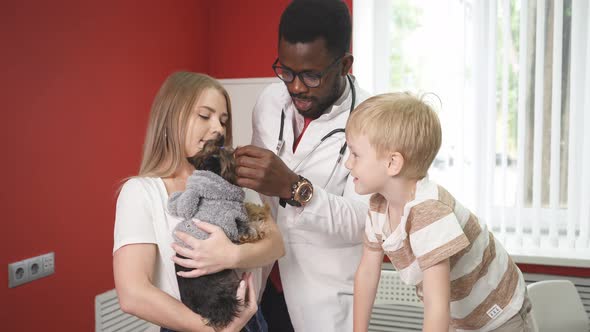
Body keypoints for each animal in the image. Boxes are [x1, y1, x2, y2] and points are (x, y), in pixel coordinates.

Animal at [166, 137, 268, 330]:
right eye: (229, 151)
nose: (220, 137)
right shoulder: (233, 227)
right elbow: (247, 227)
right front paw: (260, 228)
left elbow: (248, 209)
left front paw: (259, 210)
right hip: (227, 295)